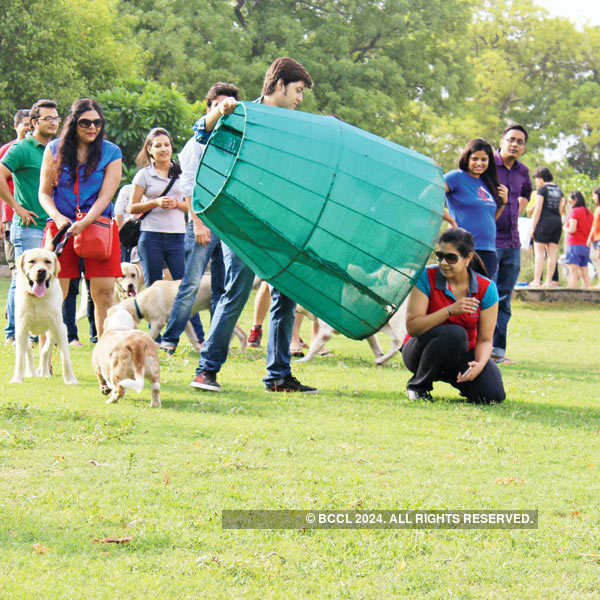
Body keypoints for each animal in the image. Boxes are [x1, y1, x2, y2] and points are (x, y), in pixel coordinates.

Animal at [10, 248, 77, 384]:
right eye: (31, 261)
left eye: (47, 261)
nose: (41, 271)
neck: (37, 298)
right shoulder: (21, 328)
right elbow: (20, 358)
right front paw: (17, 379)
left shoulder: (60, 328)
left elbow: (65, 357)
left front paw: (70, 379)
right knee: (29, 350)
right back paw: (31, 372)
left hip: (52, 331)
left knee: (45, 351)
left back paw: (45, 372)